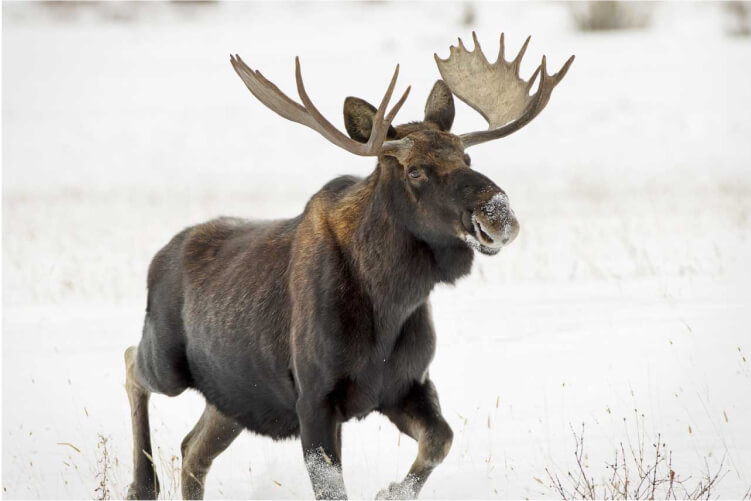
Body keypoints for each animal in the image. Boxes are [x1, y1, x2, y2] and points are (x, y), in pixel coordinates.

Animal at [126, 33, 576, 498]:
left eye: (466, 159)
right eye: (415, 171)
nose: (498, 215)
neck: (391, 301)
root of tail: (159, 258)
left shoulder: (405, 384)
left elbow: (441, 440)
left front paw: (390, 490)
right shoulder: (314, 397)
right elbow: (332, 485)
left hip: (236, 398)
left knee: (193, 449)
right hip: (168, 362)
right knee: (131, 365)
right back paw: (141, 484)